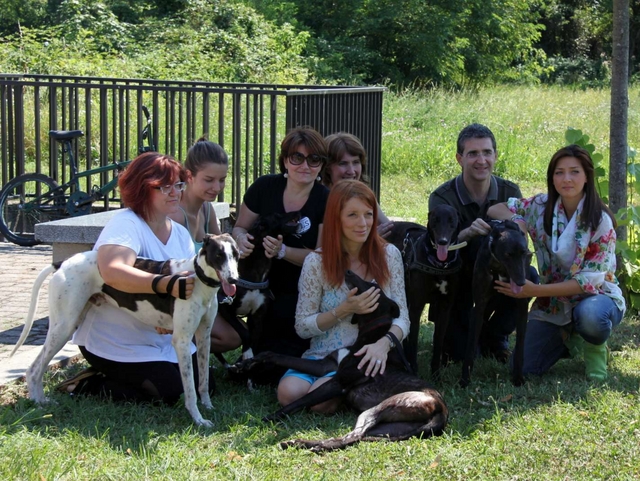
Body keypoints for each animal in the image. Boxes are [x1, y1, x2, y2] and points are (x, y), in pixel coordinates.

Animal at [10, 234, 240, 426]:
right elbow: (190, 388)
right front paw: (198, 419)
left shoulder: (203, 337)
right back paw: (40, 403)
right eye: (218, 255)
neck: (197, 280)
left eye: (236, 255)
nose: (234, 280)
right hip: (64, 326)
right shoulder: (182, 341)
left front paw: (208, 407)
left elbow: (203, 381)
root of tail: (62, 263)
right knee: (34, 369)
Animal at [216, 211, 302, 368]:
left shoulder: (258, 316)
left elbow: (254, 339)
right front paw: (247, 353)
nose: (297, 212)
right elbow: (244, 333)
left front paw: (249, 360)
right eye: (278, 214)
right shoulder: (224, 308)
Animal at [384, 202, 464, 376]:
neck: (440, 264)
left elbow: (438, 342)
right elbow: (413, 341)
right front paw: (413, 371)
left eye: (451, 220)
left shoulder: (445, 308)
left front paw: (436, 375)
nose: (442, 241)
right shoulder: (416, 307)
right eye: (435, 219)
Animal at [462, 220, 532, 386]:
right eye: (508, 255)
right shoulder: (479, 305)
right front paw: (464, 379)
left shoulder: (522, 307)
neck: (500, 269)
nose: (521, 283)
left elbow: (520, 346)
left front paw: (518, 378)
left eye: (524, 253)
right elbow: (470, 346)